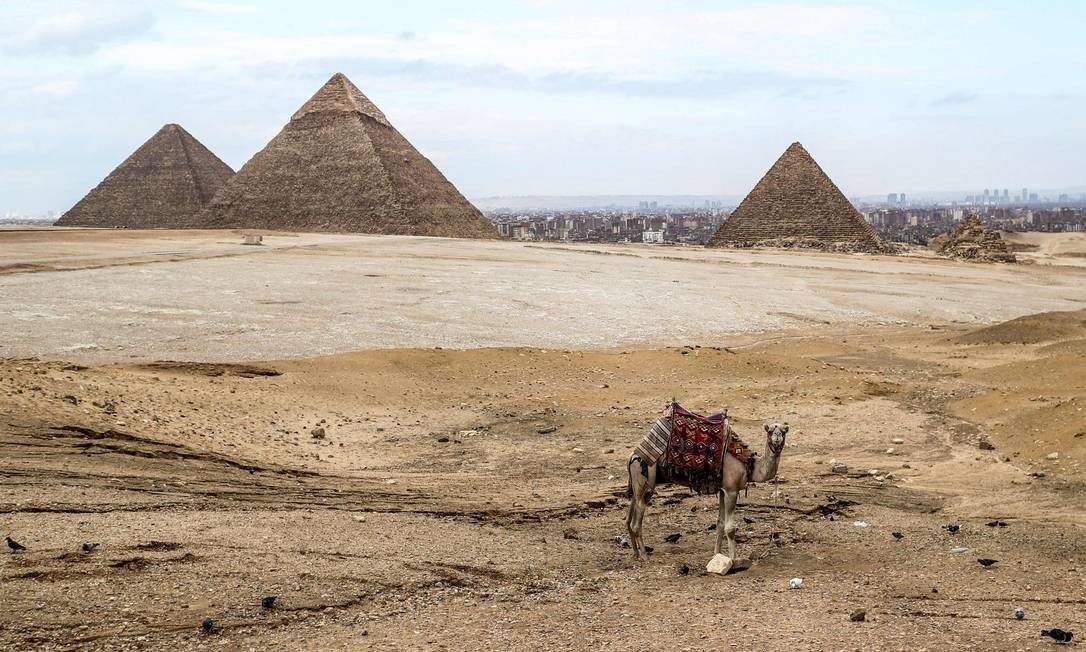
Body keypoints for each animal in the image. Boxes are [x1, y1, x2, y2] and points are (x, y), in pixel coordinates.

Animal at [629, 415, 790, 560]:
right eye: (769, 431)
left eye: (784, 431)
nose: (777, 437)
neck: (749, 465)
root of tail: (632, 456)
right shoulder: (732, 490)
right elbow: (730, 528)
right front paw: (734, 559)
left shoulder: (723, 490)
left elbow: (720, 524)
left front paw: (716, 554)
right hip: (645, 478)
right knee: (637, 518)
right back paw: (644, 555)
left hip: (638, 483)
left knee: (631, 514)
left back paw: (636, 553)